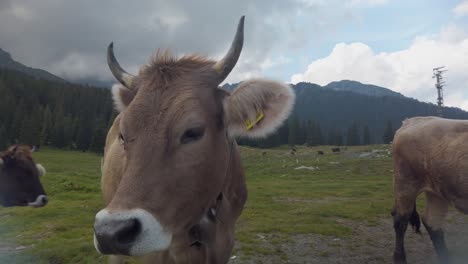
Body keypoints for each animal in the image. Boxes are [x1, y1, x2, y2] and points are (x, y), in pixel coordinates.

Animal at [392, 117, 468, 264]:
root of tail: (412, 120)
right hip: (406, 182)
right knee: (400, 220)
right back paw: (400, 258)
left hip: (438, 192)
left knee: (432, 222)